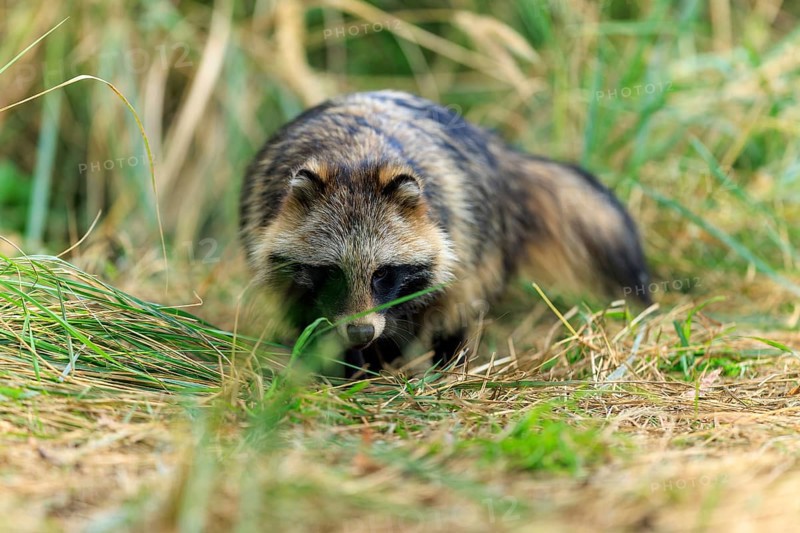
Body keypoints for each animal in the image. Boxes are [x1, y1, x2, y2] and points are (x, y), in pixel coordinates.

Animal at [240, 90, 650, 377]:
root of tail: (495, 148)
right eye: (331, 272)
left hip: (481, 238)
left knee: (457, 305)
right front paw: (341, 367)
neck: (355, 159)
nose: (360, 333)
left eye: (382, 274)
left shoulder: (449, 231)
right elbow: (308, 319)